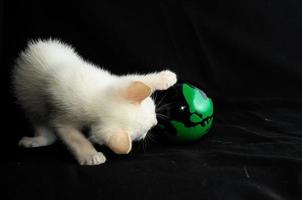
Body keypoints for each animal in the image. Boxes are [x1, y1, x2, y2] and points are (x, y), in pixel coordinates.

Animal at [12, 39, 177, 166]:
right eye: (146, 131)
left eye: (152, 110)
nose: (156, 122)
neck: (95, 99)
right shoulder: (62, 118)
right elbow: (75, 138)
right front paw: (91, 155)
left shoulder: (112, 82)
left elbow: (137, 78)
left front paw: (165, 77)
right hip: (27, 99)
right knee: (41, 124)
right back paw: (36, 140)